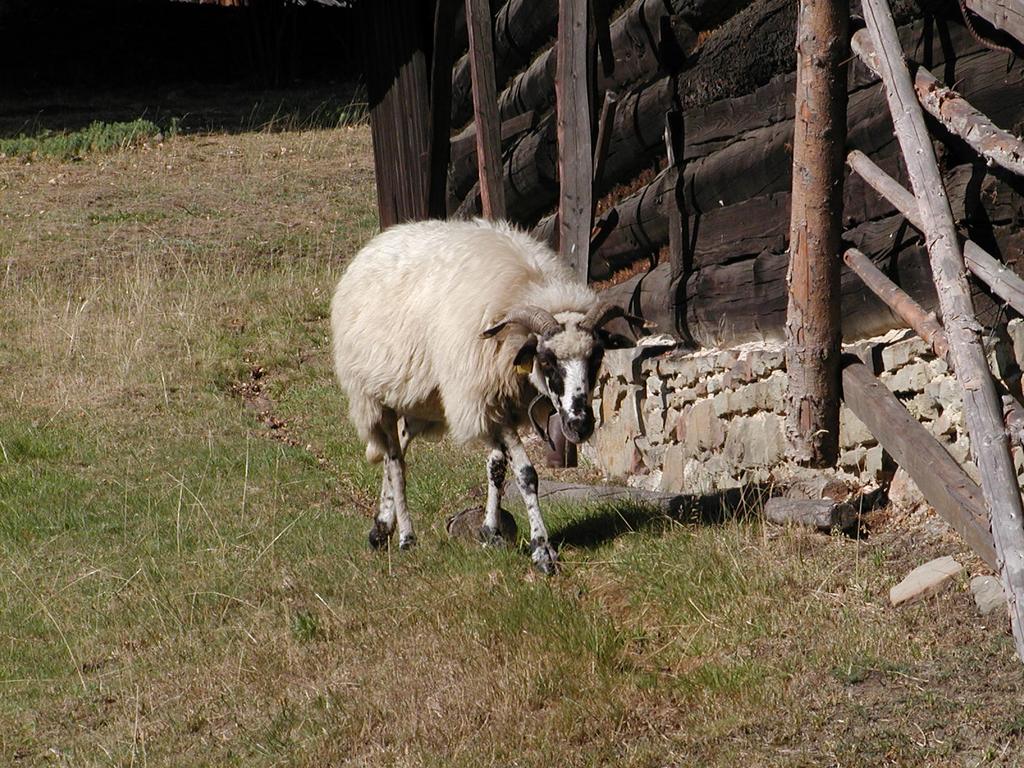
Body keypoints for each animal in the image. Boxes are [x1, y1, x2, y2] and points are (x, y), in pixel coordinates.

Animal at [329, 217, 630, 573]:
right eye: (546, 360)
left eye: (596, 356)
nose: (579, 425)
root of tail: (376, 244)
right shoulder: (484, 403)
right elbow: (526, 474)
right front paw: (542, 550)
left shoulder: (499, 406)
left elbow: (496, 468)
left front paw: (491, 532)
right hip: (373, 398)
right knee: (395, 462)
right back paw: (406, 537)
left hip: (419, 402)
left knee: (399, 447)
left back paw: (381, 527)